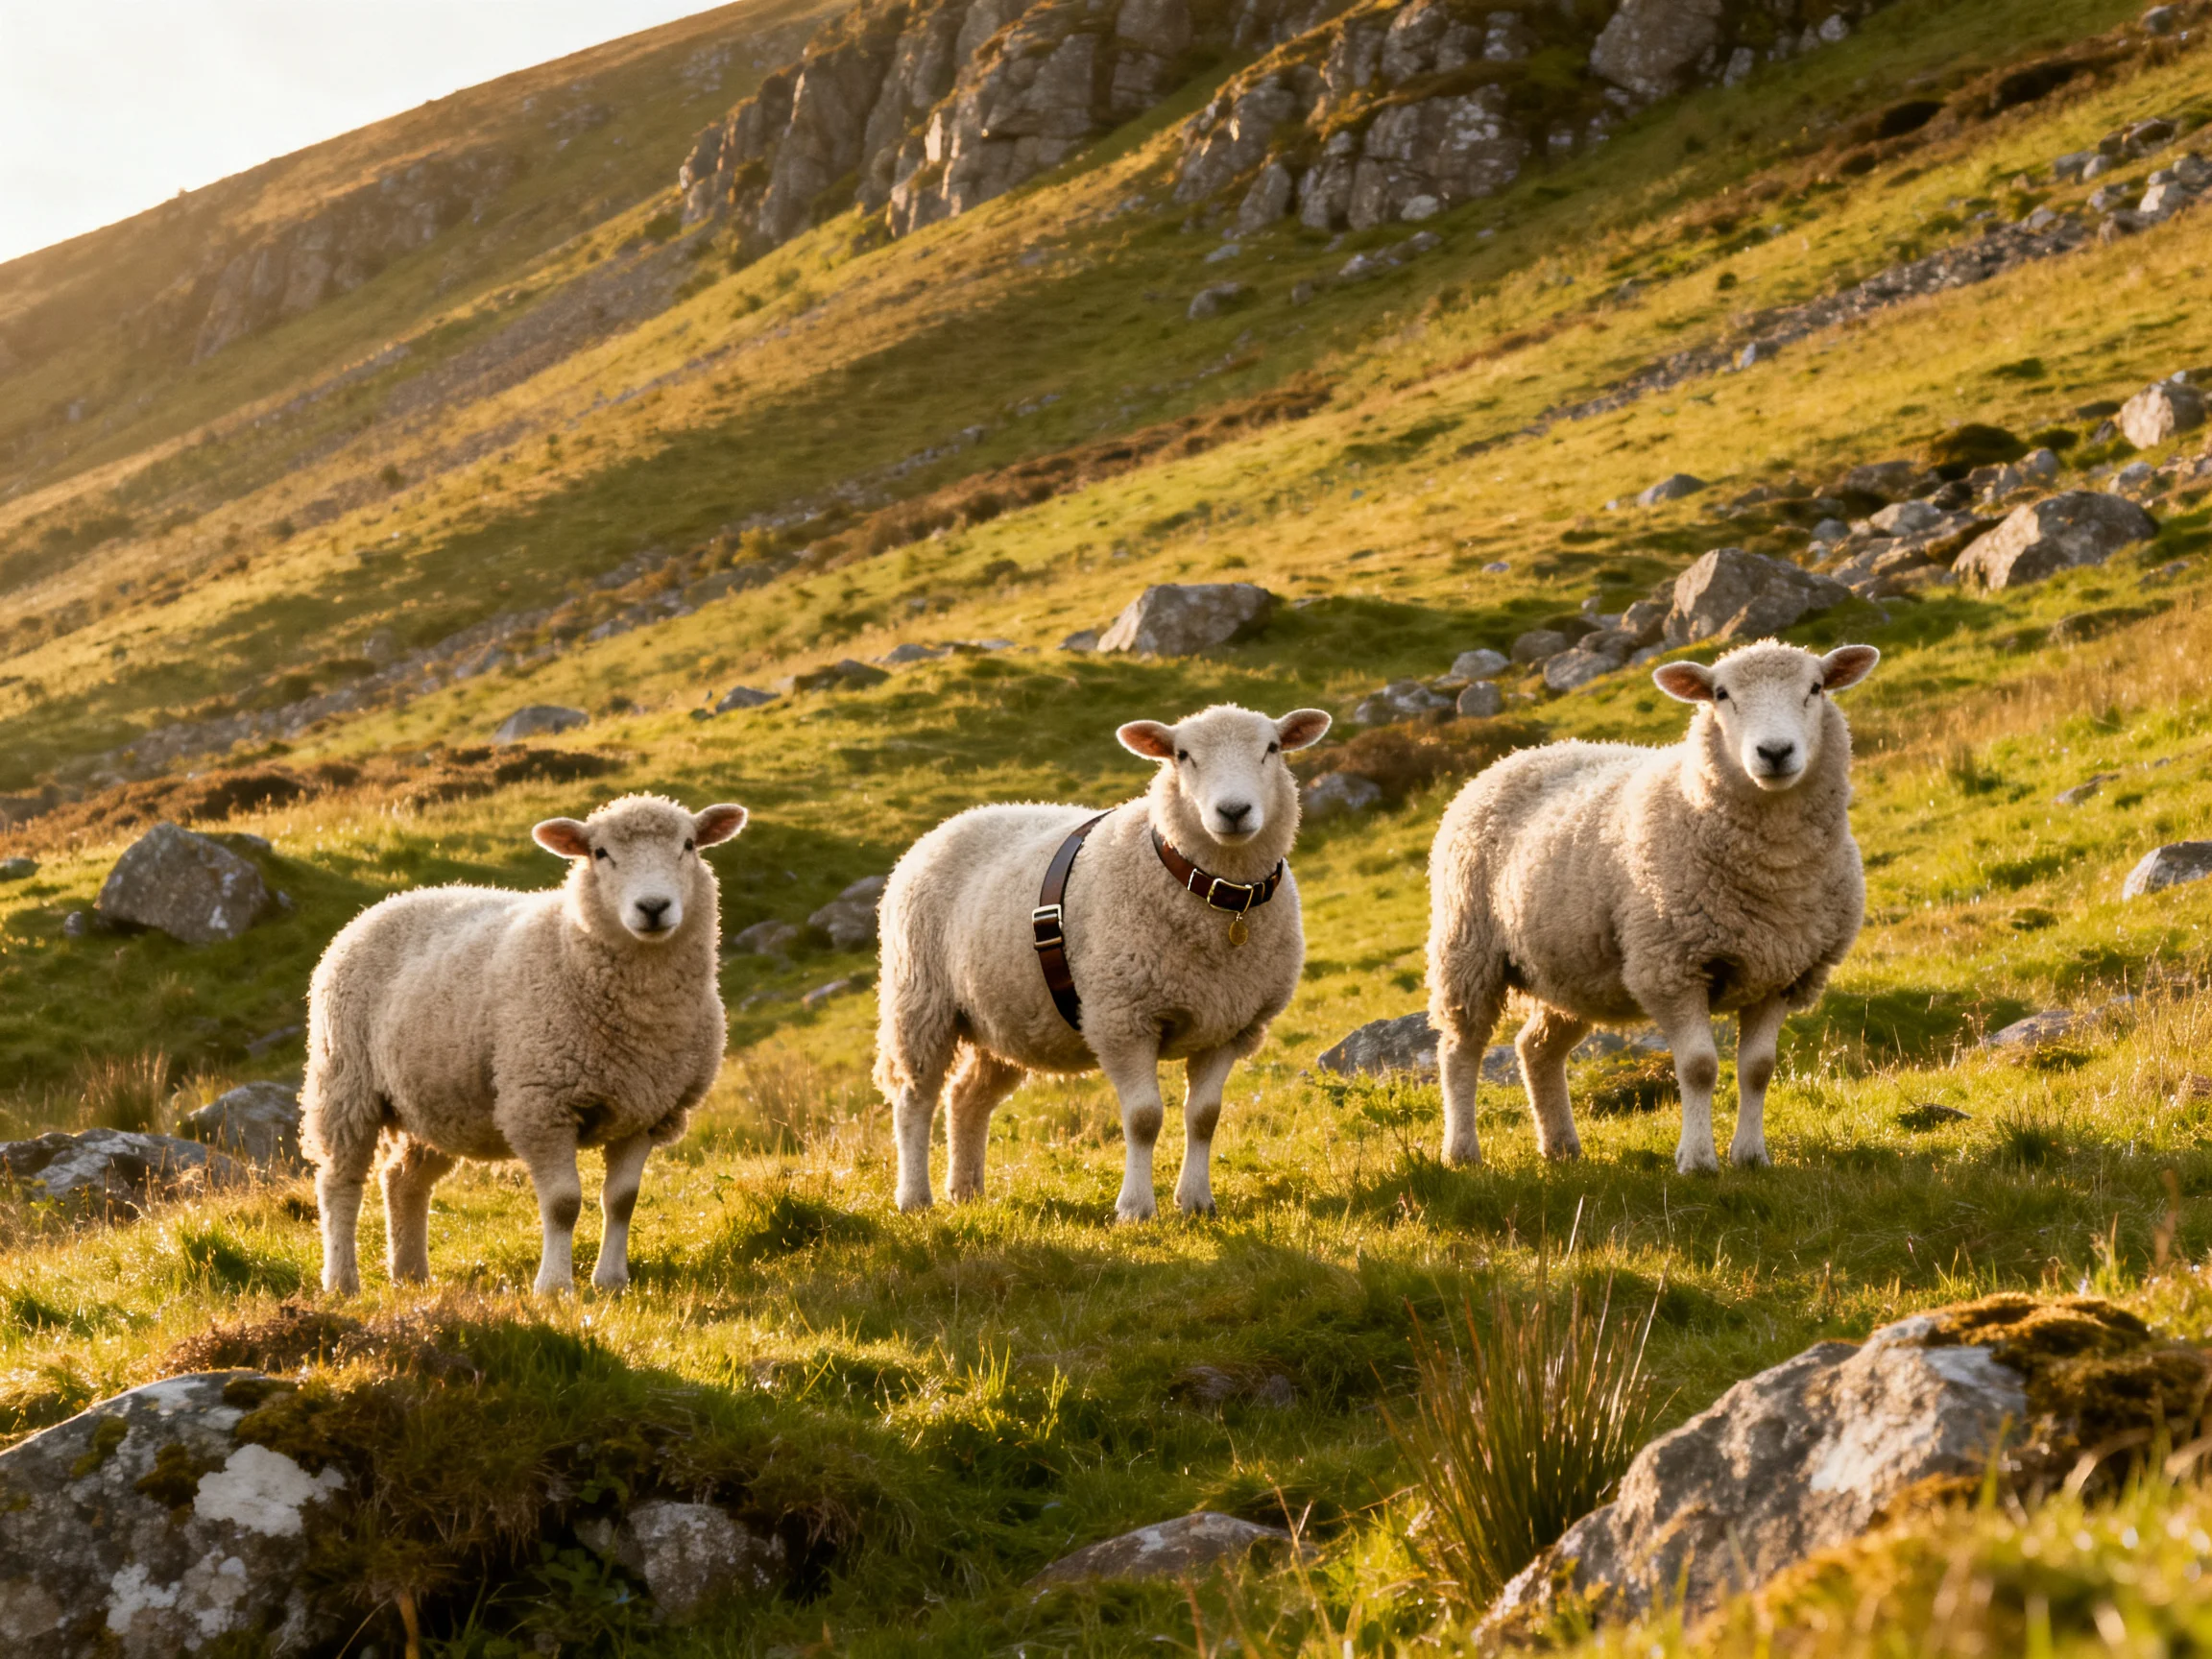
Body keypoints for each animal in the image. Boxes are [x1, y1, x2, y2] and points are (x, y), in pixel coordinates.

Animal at [302, 794, 748, 1295]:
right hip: (345, 1080)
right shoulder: (542, 1105)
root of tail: (391, 900)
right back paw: (342, 1281)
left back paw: (411, 1275)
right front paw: (554, 1287)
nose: (653, 906)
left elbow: (622, 1200)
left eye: (689, 845)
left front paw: (611, 1282)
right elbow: (563, 1203)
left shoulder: (646, 1110)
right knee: (340, 1182)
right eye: (600, 853)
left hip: (435, 1100)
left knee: (403, 1180)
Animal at [875, 703, 1331, 1220]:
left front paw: (1196, 1202)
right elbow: (1144, 1118)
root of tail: (948, 824)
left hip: (1003, 1017)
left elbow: (1204, 1117)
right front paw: (1135, 1208)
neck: (1218, 897)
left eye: (1272, 748)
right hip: (919, 1001)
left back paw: (967, 1191)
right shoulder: (1122, 1018)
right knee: (914, 1098)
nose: (1233, 812)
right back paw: (915, 1198)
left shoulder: (1229, 1027)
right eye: (1182, 755)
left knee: (966, 1098)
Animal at [1425, 640, 1880, 1174]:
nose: (1774, 752)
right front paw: (1697, 1160)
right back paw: (1461, 1152)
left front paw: (1750, 1156)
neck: (1774, 872)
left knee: (1535, 1048)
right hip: (1468, 947)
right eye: (1721, 694)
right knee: (1460, 1047)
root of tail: (1518, 756)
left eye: (1816, 688)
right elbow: (1700, 1067)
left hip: (1574, 967)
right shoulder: (1671, 967)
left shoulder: (1782, 973)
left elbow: (1759, 1069)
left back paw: (1561, 1147)